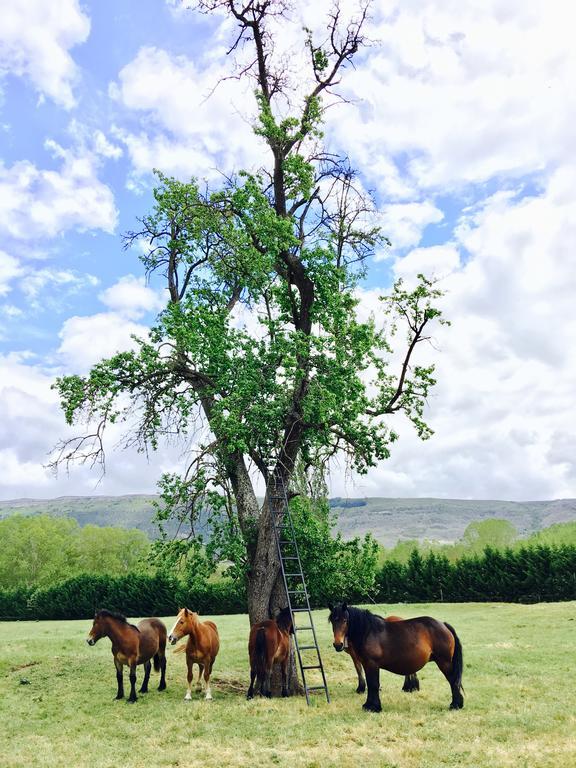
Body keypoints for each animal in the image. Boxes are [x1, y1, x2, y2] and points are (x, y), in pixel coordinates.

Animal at [328, 604, 464, 712]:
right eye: (333, 621)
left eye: (345, 620)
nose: (338, 644)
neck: (368, 632)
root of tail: (443, 624)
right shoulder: (366, 664)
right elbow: (371, 684)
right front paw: (369, 705)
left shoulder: (372, 664)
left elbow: (373, 684)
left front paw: (373, 707)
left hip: (444, 662)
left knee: (453, 681)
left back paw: (455, 705)